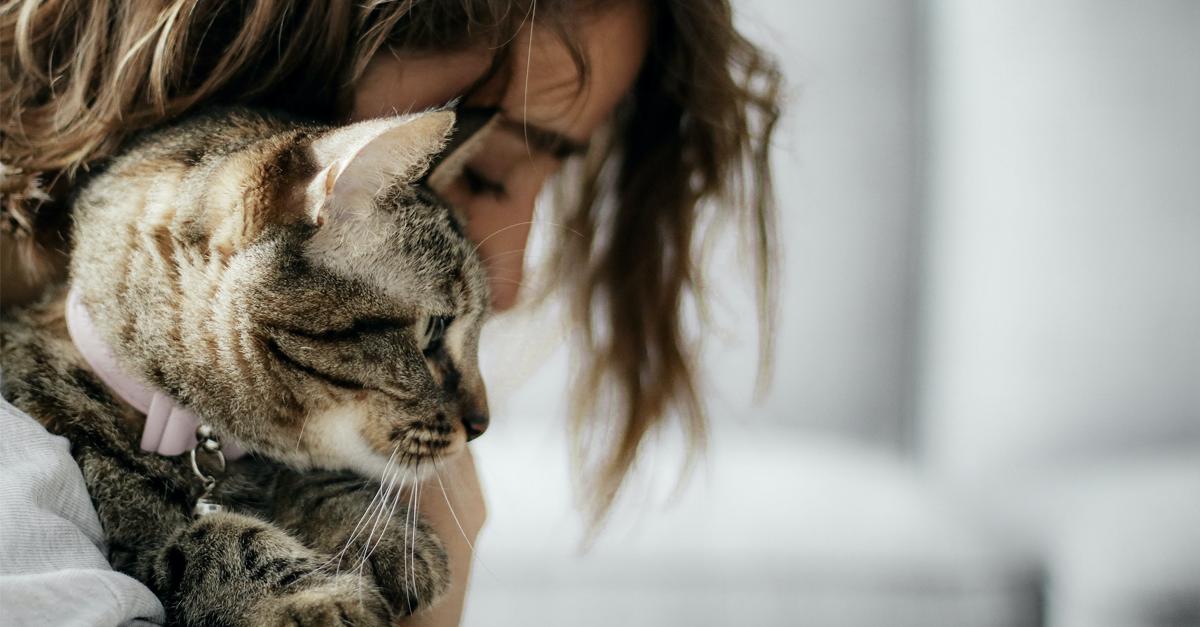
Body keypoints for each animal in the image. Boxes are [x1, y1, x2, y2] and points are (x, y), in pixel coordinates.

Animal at [0, 107, 492, 624]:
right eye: (434, 331)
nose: (481, 424)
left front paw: (376, 529)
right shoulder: (139, 547)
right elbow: (210, 539)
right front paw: (312, 597)